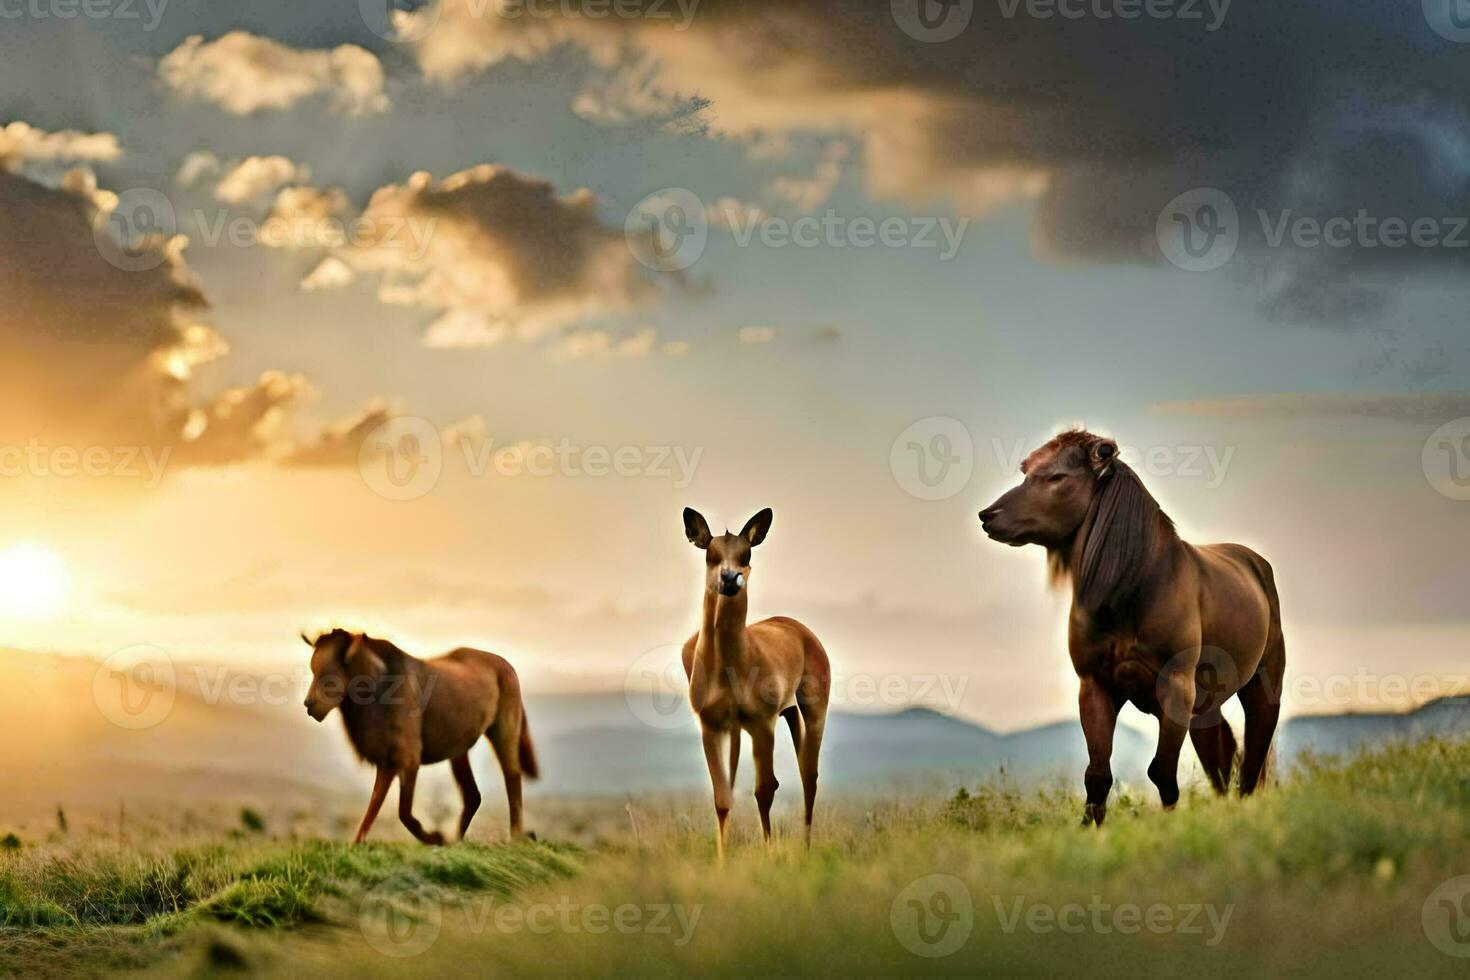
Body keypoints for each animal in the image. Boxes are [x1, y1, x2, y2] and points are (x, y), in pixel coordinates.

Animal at [301, 631, 538, 846]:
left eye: (327, 674)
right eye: (312, 671)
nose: (308, 704)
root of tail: (506, 664)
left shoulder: (408, 758)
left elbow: (403, 812)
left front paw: (434, 837)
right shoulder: (386, 760)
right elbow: (373, 808)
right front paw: (356, 846)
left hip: (504, 730)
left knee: (512, 777)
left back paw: (516, 836)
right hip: (458, 749)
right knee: (472, 795)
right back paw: (455, 841)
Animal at [676, 511, 829, 852]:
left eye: (746, 553)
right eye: (710, 554)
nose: (730, 578)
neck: (728, 665)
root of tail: (799, 629)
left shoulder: (762, 723)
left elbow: (766, 789)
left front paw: (770, 852)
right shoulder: (711, 724)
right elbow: (722, 798)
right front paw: (722, 858)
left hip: (811, 710)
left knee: (809, 775)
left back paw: (807, 847)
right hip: (766, 720)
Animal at [981, 431, 1281, 822]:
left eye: (1057, 477)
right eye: (1028, 472)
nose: (988, 516)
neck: (1135, 587)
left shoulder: (1175, 688)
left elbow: (1162, 772)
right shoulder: (1096, 686)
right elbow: (1097, 775)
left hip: (1264, 686)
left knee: (1252, 761)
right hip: (1205, 705)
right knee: (1221, 759)